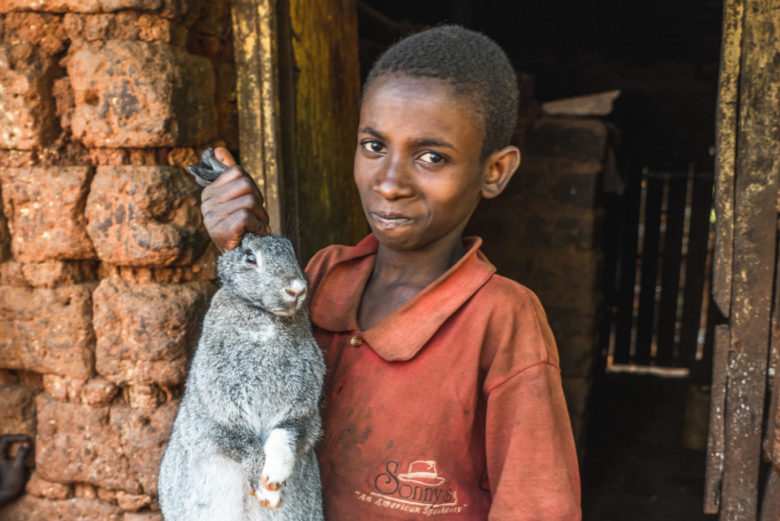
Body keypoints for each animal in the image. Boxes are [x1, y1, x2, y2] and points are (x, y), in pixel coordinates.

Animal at [158, 148, 326, 516]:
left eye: (290, 248)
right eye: (250, 258)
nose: (297, 289)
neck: (264, 317)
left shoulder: (302, 412)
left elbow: (284, 437)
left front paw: (273, 483)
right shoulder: (221, 416)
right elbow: (247, 447)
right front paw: (267, 492)